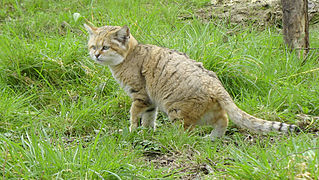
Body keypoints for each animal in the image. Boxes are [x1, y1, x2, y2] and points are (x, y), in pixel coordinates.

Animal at [84, 23, 298, 141]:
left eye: (105, 47)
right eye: (93, 46)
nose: (95, 55)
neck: (129, 56)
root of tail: (216, 85)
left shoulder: (140, 96)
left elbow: (134, 116)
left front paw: (132, 131)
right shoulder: (151, 101)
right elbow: (149, 119)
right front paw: (146, 132)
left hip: (176, 110)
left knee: (186, 134)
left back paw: (171, 139)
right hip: (204, 111)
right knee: (224, 119)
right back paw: (211, 139)